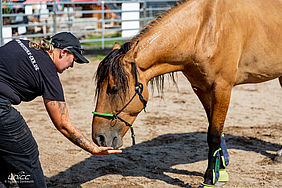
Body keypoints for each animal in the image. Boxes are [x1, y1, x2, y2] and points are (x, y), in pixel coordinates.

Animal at [92, 0, 282, 187]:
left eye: (114, 88)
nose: (99, 138)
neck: (204, 29)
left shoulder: (222, 88)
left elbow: (214, 134)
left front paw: (210, 178)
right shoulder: (202, 89)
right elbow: (215, 129)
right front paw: (220, 171)